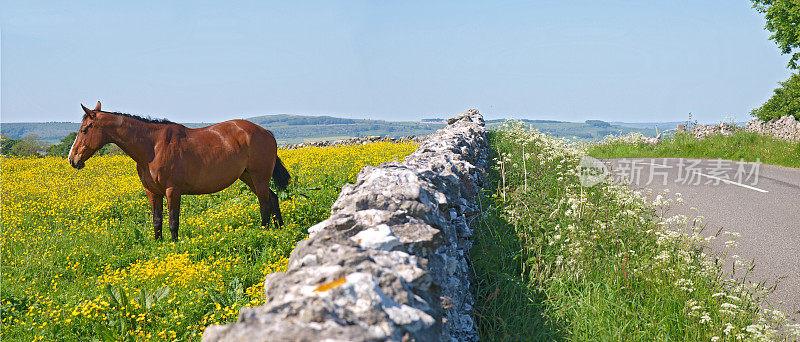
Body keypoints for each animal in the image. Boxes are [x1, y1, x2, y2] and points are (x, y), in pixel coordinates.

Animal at [67, 101, 290, 240]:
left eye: (84, 130)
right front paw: (158, 245)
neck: (153, 147)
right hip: (248, 177)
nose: (73, 159)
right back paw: (280, 228)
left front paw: (174, 245)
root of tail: (265, 132)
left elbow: (173, 221)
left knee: (264, 203)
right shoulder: (152, 192)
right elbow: (157, 221)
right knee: (272, 198)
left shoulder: (172, 190)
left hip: (259, 177)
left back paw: (264, 230)